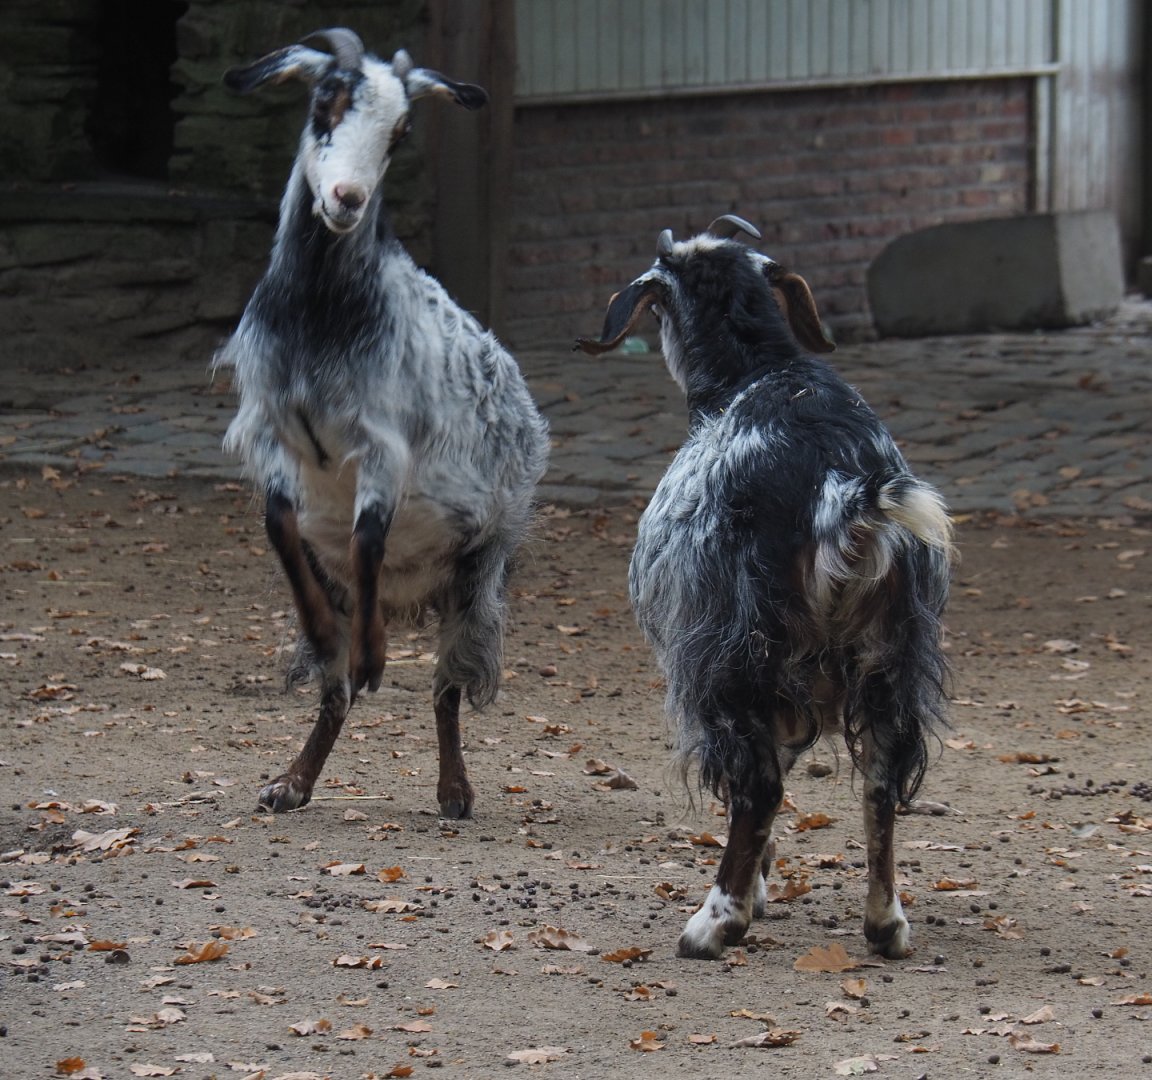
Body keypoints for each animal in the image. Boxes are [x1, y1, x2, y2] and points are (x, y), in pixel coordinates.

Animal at [215, 28, 548, 819]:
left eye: (400, 130)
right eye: (325, 100)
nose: (346, 199)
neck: (320, 319)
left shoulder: (384, 443)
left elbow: (369, 534)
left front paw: (373, 654)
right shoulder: (270, 430)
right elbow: (280, 521)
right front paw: (329, 636)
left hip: (478, 570)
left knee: (448, 688)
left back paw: (454, 790)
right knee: (335, 693)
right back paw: (293, 782)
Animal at [577, 216, 952, 960]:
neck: (757, 373)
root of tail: (840, 489)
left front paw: (749, 894)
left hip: (729, 653)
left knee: (758, 785)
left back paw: (714, 921)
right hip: (892, 656)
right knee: (881, 784)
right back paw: (885, 923)